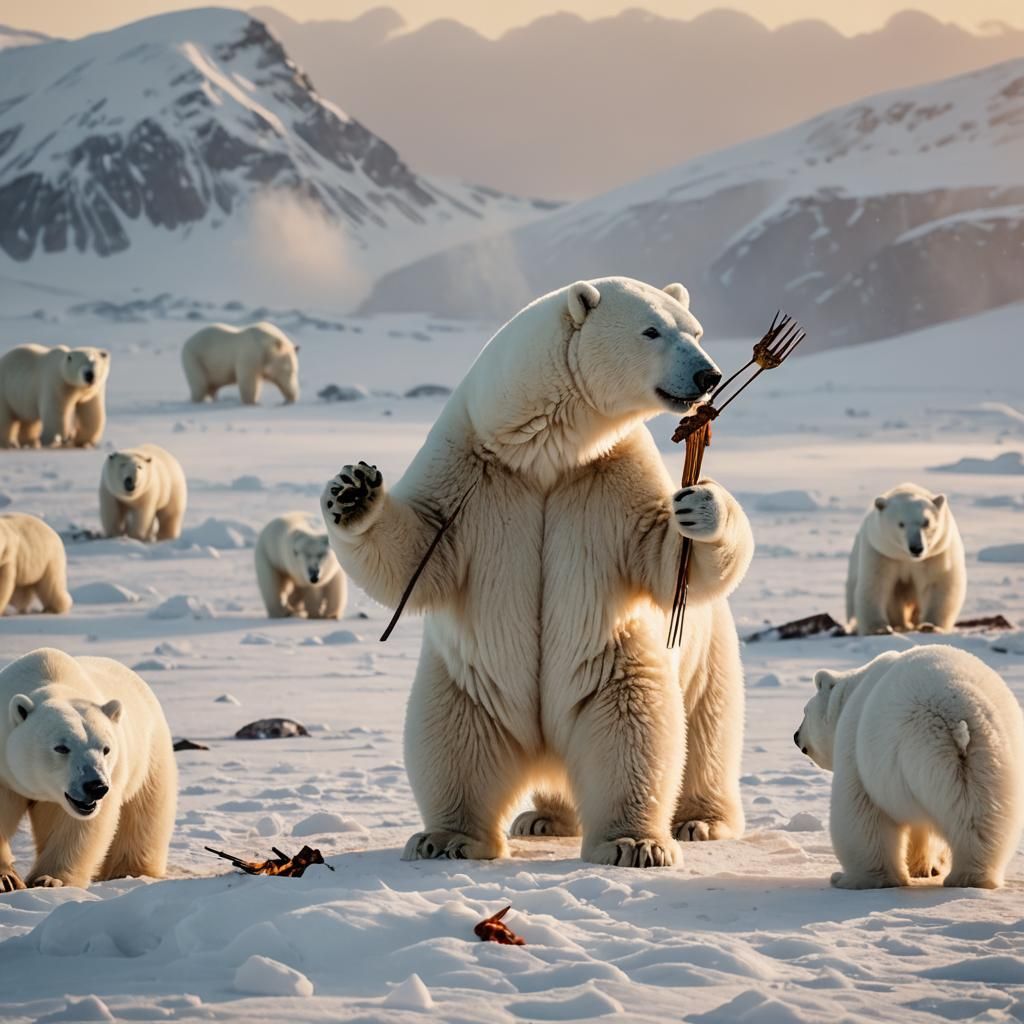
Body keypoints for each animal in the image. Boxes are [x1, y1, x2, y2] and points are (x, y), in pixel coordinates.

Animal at [0, 647, 177, 891]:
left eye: (106, 749)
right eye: (62, 747)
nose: (96, 786)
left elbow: (77, 828)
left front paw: (49, 879)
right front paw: (6, 879)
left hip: (149, 754)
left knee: (144, 813)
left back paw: (129, 870)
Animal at [321, 277, 754, 868]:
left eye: (696, 330)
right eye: (651, 330)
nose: (709, 376)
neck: (544, 452)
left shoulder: (610, 473)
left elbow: (661, 556)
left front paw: (702, 504)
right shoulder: (469, 467)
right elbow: (419, 552)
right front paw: (352, 490)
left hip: (642, 663)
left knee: (654, 731)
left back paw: (659, 833)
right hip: (472, 681)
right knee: (454, 740)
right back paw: (468, 833)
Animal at [794, 646, 1024, 890]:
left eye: (805, 711)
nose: (796, 736)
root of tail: (956, 714)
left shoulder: (856, 750)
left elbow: (861, 813)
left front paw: (860, 879)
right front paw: (921, 868)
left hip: (918, 746)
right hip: (988, 758)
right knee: (979, 815)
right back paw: (970, 877)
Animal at [846, 482, 965, 635]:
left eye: (926, 522)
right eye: (901, 524)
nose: (916, 547)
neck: (905, 557)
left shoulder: (936, 554)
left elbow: (939, 583)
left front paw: (930, 625)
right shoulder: (881, 552)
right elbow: (874, 584)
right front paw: (879, 629)